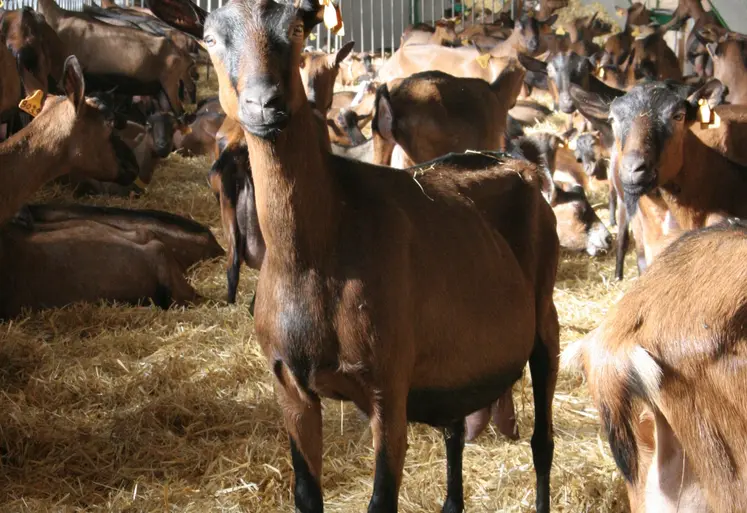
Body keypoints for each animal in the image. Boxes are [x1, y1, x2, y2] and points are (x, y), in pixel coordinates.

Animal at [152, 1, 560, 512]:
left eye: (298, 28)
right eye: (208, 37)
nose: (264, 103)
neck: (315, 252)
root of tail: (519, 167)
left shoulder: (388, 386)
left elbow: (381, 498)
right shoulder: (290, 386)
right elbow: (307, 493)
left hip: (545, 318)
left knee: (542, 441)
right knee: (453, 430)